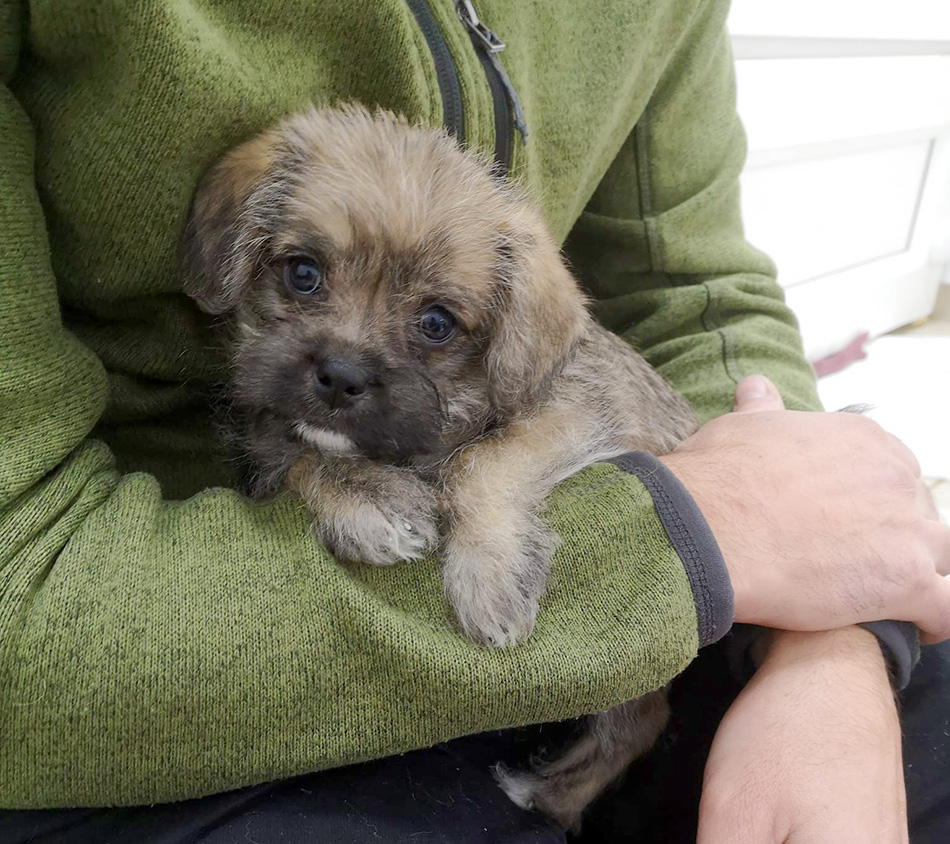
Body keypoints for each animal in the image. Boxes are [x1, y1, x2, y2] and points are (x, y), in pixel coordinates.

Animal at [180, 104, 700, 824]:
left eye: (436, 322)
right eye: (302, 273)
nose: (340, 375)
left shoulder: (575, 413)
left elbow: (481, 461)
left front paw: (489, 576)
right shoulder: (267, 437)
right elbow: (300, 456)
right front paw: (368, 497)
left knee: (640, 721)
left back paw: (549, 792)